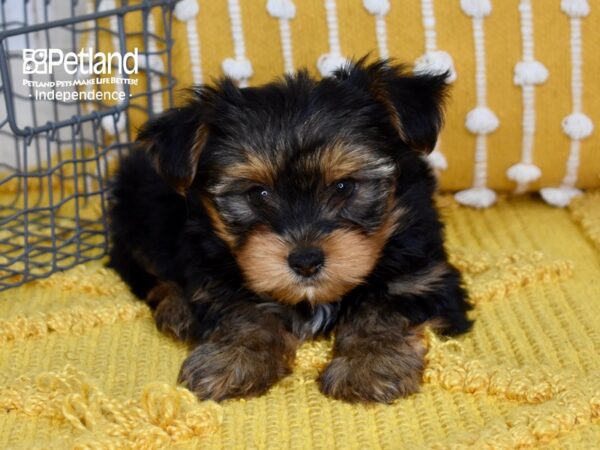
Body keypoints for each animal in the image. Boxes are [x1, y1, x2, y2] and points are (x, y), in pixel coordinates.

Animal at [108, 58, 474, 402]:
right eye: (258, 193)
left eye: (344, 187)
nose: (306, 261)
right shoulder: (217, 275)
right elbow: (244, 313)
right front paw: (234, 358)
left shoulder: (425, 277)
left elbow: (384, 308)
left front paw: (369, 365)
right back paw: (178, 309)